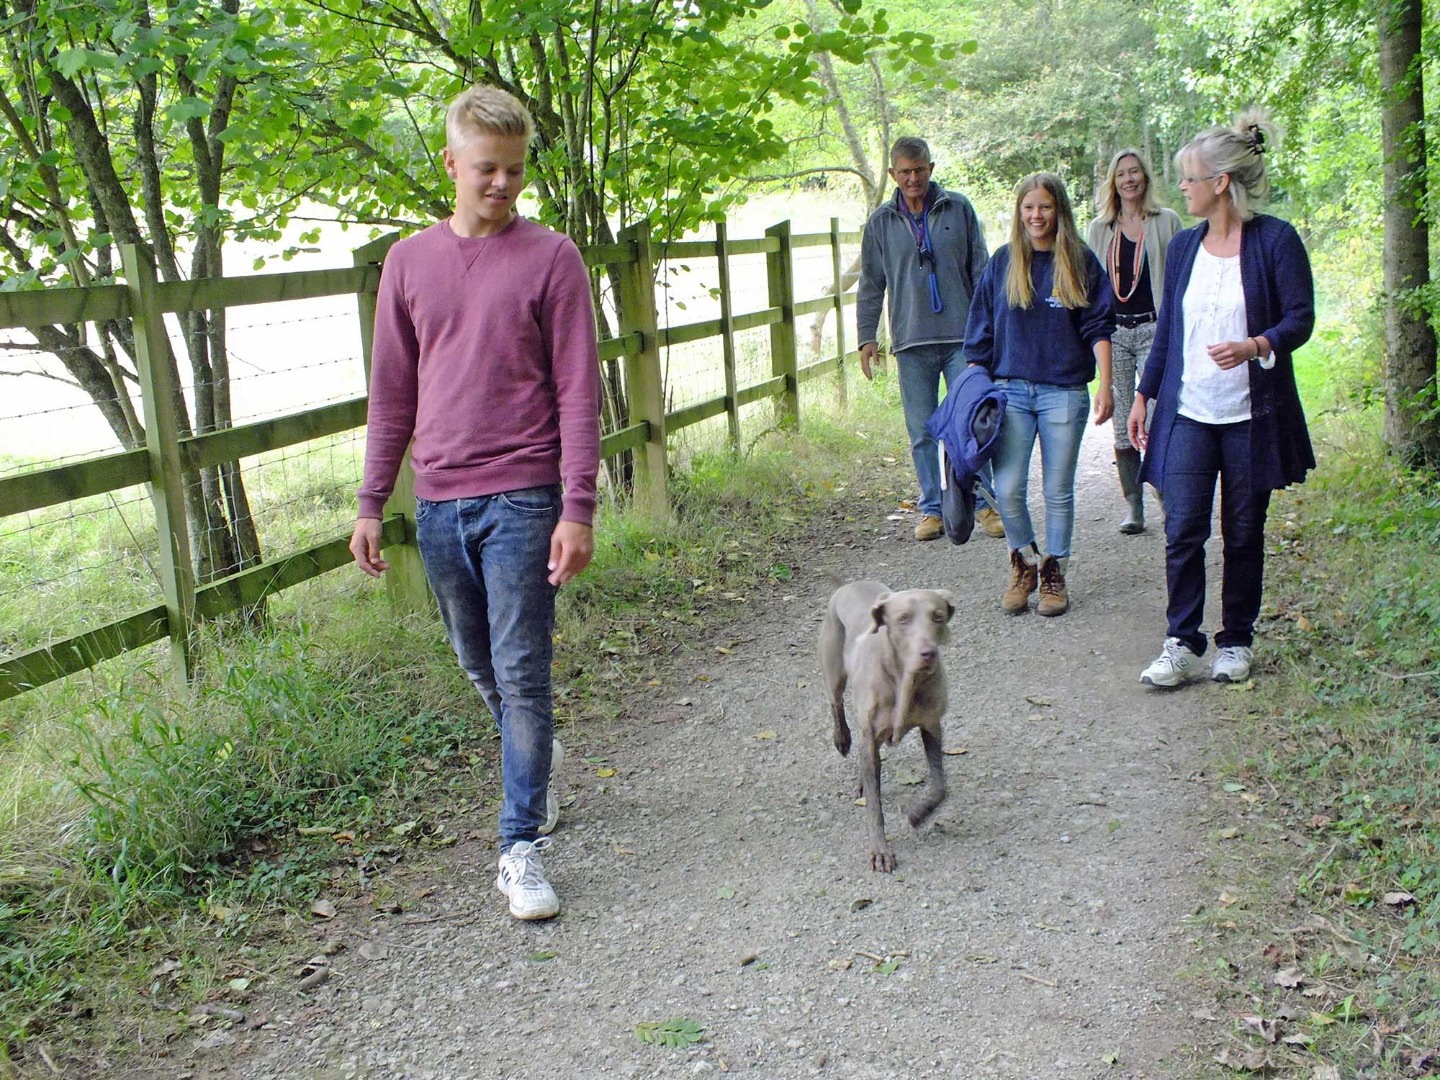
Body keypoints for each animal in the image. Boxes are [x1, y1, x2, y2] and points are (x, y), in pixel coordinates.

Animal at [823, 578, 956, 875]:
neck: (905, 681)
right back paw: (842, 739)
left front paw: (918, 815)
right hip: (833, 669)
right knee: (836, 704)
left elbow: (940, 787)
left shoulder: (932, 726)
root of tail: (848, 584)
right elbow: (874, 806)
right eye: (902, 619)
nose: (928, 653)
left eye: (938, 617)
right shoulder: (870, 733)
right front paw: (880, 852)